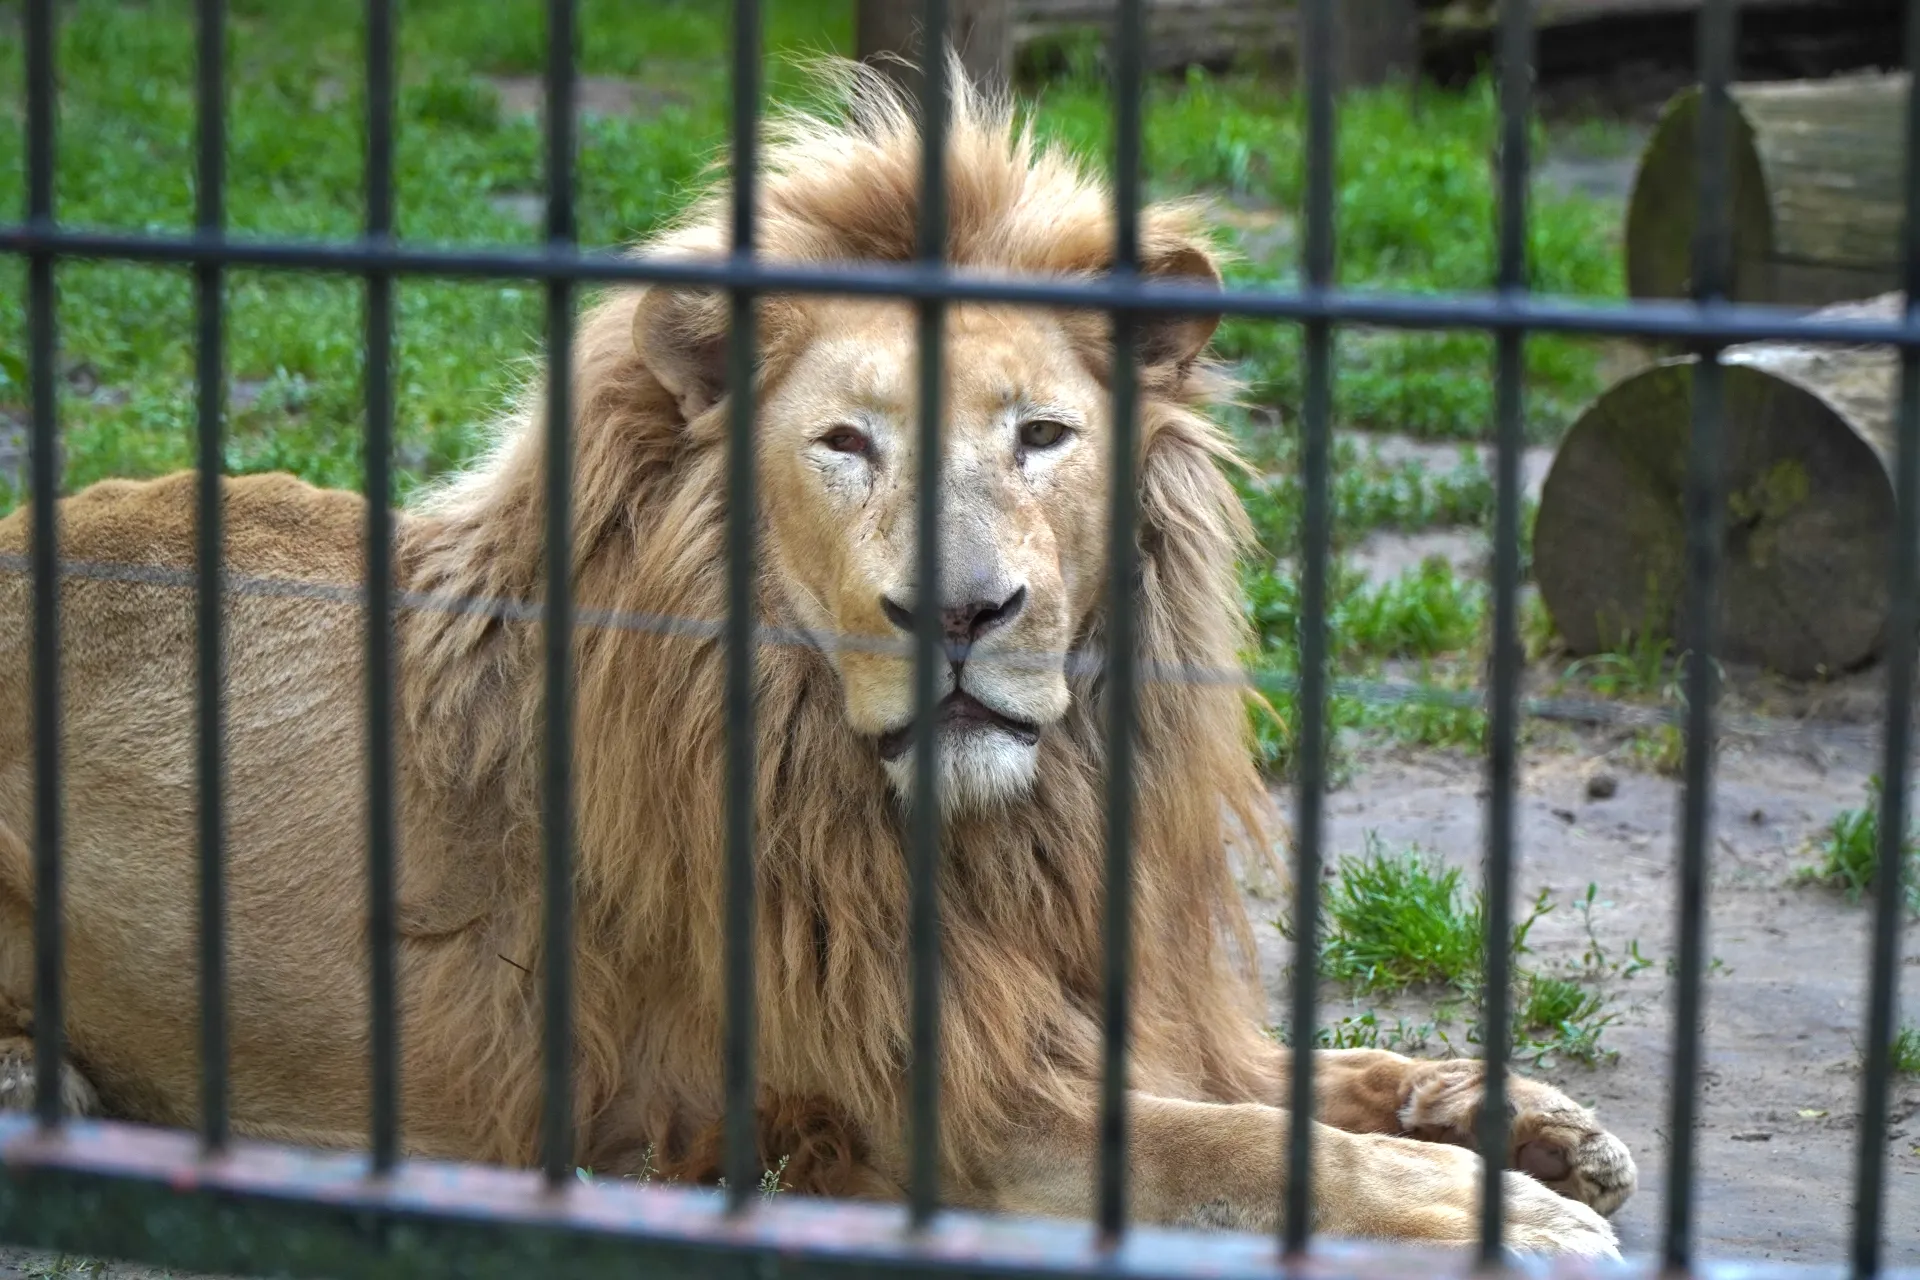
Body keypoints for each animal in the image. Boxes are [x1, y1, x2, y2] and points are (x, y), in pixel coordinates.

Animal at [0, 60, 1634, 1254]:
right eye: (848, 444)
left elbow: (1296, 1074)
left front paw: (1529, 1120)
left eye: (1042, 435)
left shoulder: (1077, 999)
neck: (998, 830)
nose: (962, 613)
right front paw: (1509, 1215)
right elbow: (1240, 1141)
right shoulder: (925, 1107)